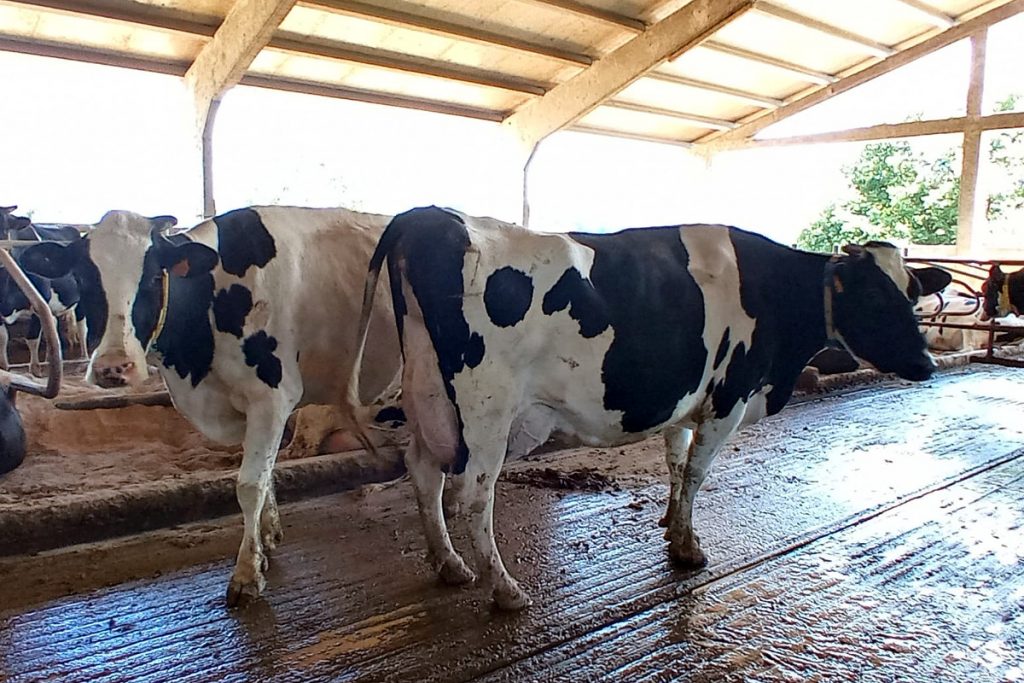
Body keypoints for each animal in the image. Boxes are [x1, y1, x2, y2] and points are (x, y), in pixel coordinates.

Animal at [20, 207, 402, 604]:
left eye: (154, 277)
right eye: (83, 277)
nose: (113, 367)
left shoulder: (272, 397)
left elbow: (249, 485)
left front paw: (247, 574)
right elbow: (266, 476)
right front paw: (267, 538)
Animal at [350, 206, 949, 610]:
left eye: (912, 292)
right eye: (872, 297)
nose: (926, 364)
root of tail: (433, 216)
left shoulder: (685, 400)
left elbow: (676, 462)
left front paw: (669, 522)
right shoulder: (727, 399)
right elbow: (699, 472)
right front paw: (687, 548)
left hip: (427, 393)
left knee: (423, 472)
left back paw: (449, 565)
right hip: (486, 410)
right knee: (473, 495)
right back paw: (505, 589)